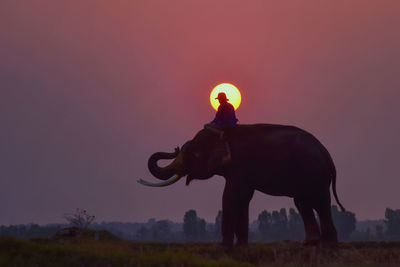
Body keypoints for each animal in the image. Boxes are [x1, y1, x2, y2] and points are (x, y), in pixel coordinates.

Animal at [138, 124, 344, 248]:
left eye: (193, 154)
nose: (174, 148)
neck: (223, 134)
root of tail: (328, 156)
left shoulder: (239, 168)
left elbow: (231, 196)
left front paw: (225, 247)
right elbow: (243, 198)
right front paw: (241, 246)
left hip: (314, 174)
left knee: (319, 202)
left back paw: (329, 246)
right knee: (302, 202)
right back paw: (311, 244)